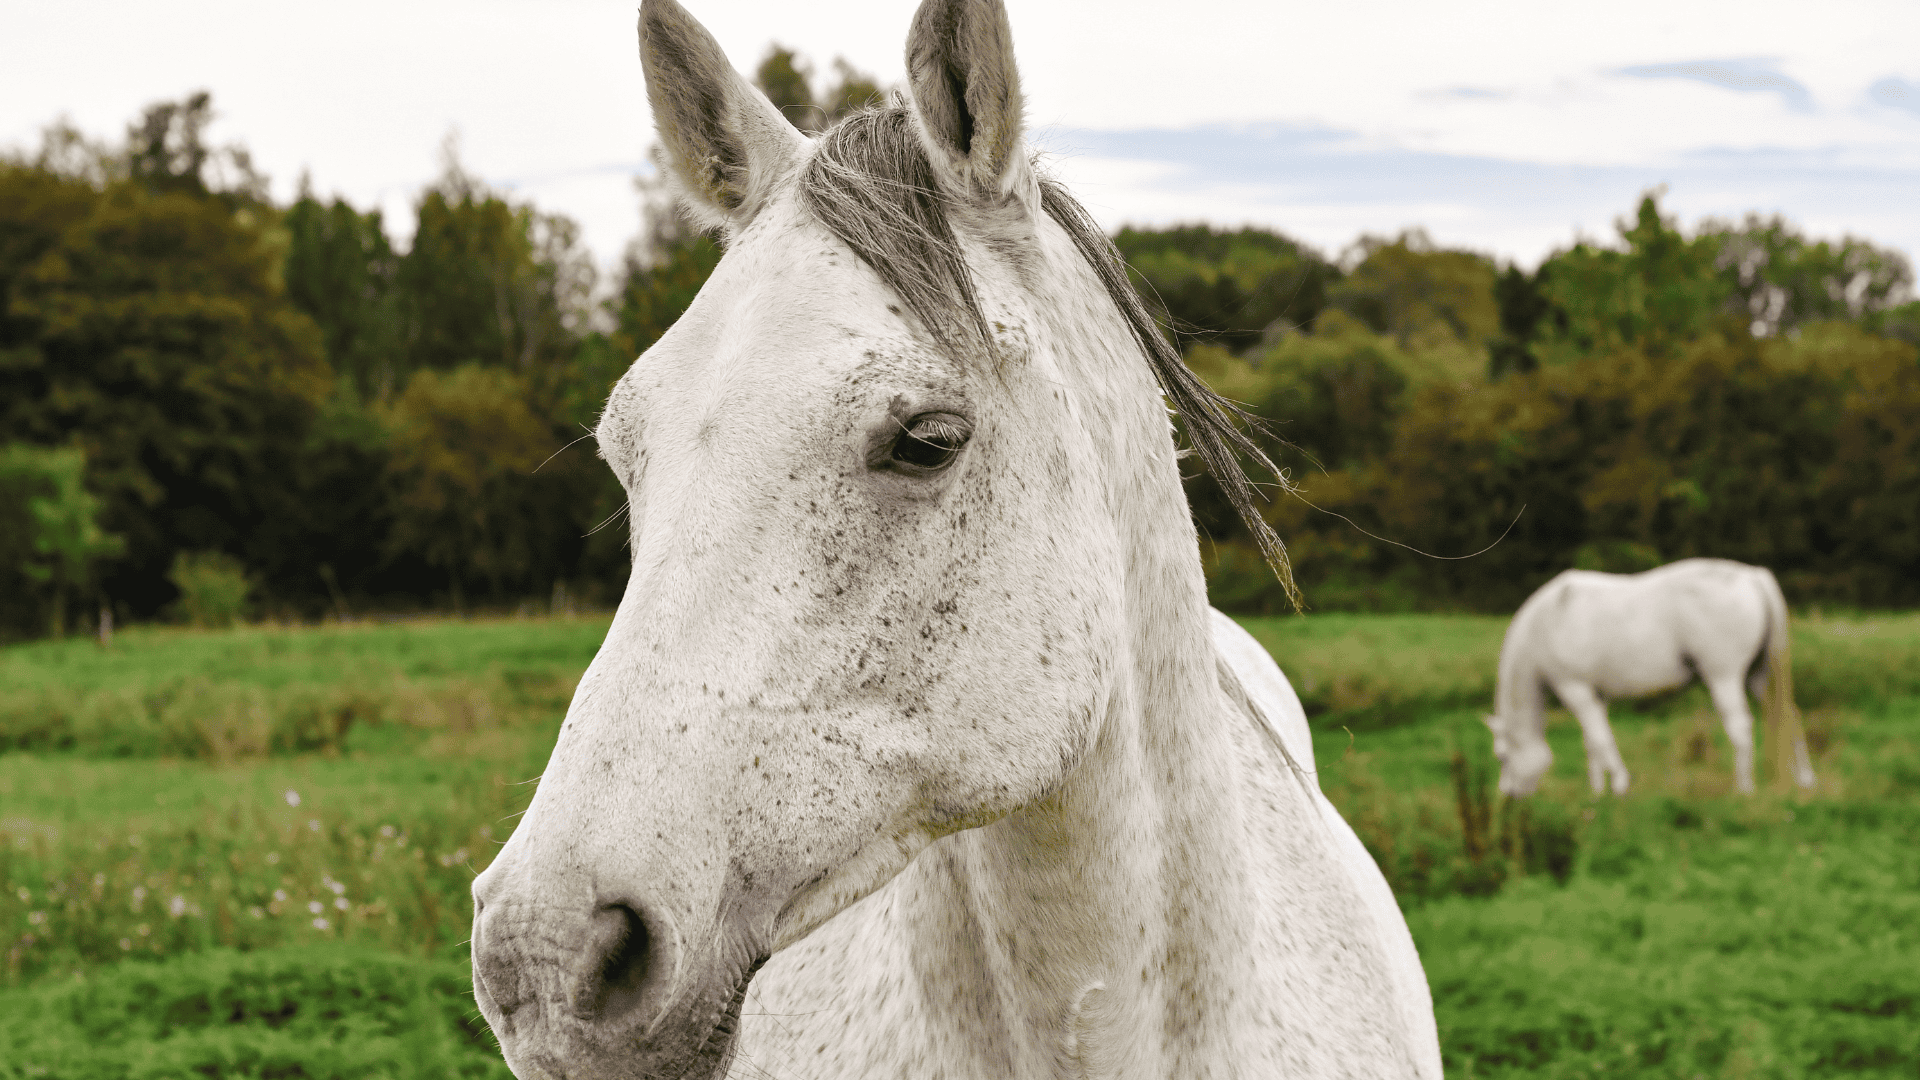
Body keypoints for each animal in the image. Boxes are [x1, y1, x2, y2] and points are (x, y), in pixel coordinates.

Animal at [1485, 557, 1816, 797]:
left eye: (1502, 757)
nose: (1508, 796)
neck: (1545, 623)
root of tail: (1751, 576)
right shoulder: (1595, 695)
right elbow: (1592, 742)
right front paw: (1597, 793)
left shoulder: (1575, 689)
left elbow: (1601, 738)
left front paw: (1619, 785)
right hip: (1758, 679)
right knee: (1791, 716)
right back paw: (1805, 781)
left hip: (1724, 678)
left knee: (1740, 728)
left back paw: (1744, 789)